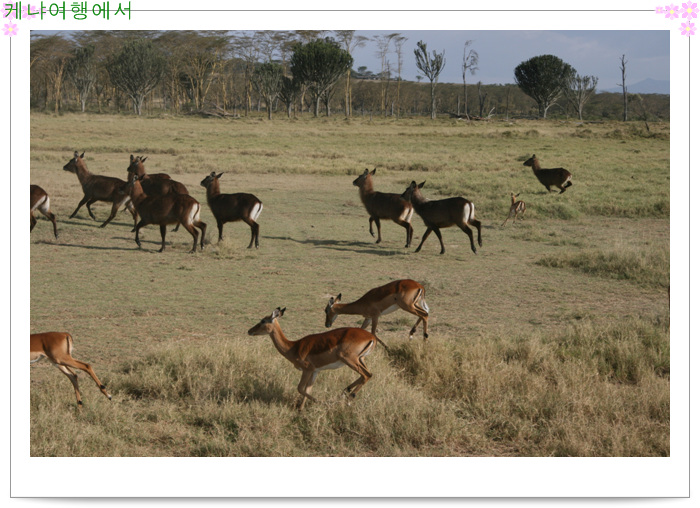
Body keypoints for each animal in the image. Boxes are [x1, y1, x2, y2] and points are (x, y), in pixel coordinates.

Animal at [247, 308, 378, 410]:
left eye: (263, 320)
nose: (250, 331)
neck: (294, 347)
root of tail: (371, 337)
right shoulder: (316, 371)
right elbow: (308, 389)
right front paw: (300, 410)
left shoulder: (307, 369)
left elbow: (300, 388)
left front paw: (323, 403)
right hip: (360, 359)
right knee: (367, 374)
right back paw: (346, 392)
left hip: (349, 359)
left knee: (367, 375)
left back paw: (348, 398)